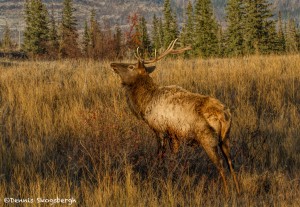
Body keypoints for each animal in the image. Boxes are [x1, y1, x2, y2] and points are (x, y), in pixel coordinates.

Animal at [110, 39, 241, 196]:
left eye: (131, 66)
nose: (113, 64)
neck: (145, 104)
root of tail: (225, 116)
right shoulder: (175, 135)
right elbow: (174, 157)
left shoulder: (160, 130)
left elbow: (160, 155)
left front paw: (158, 174)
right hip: (225, 138)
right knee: (231, 163)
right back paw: (238, 190)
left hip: (208, 139)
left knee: (221, 165)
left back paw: (226, 193)